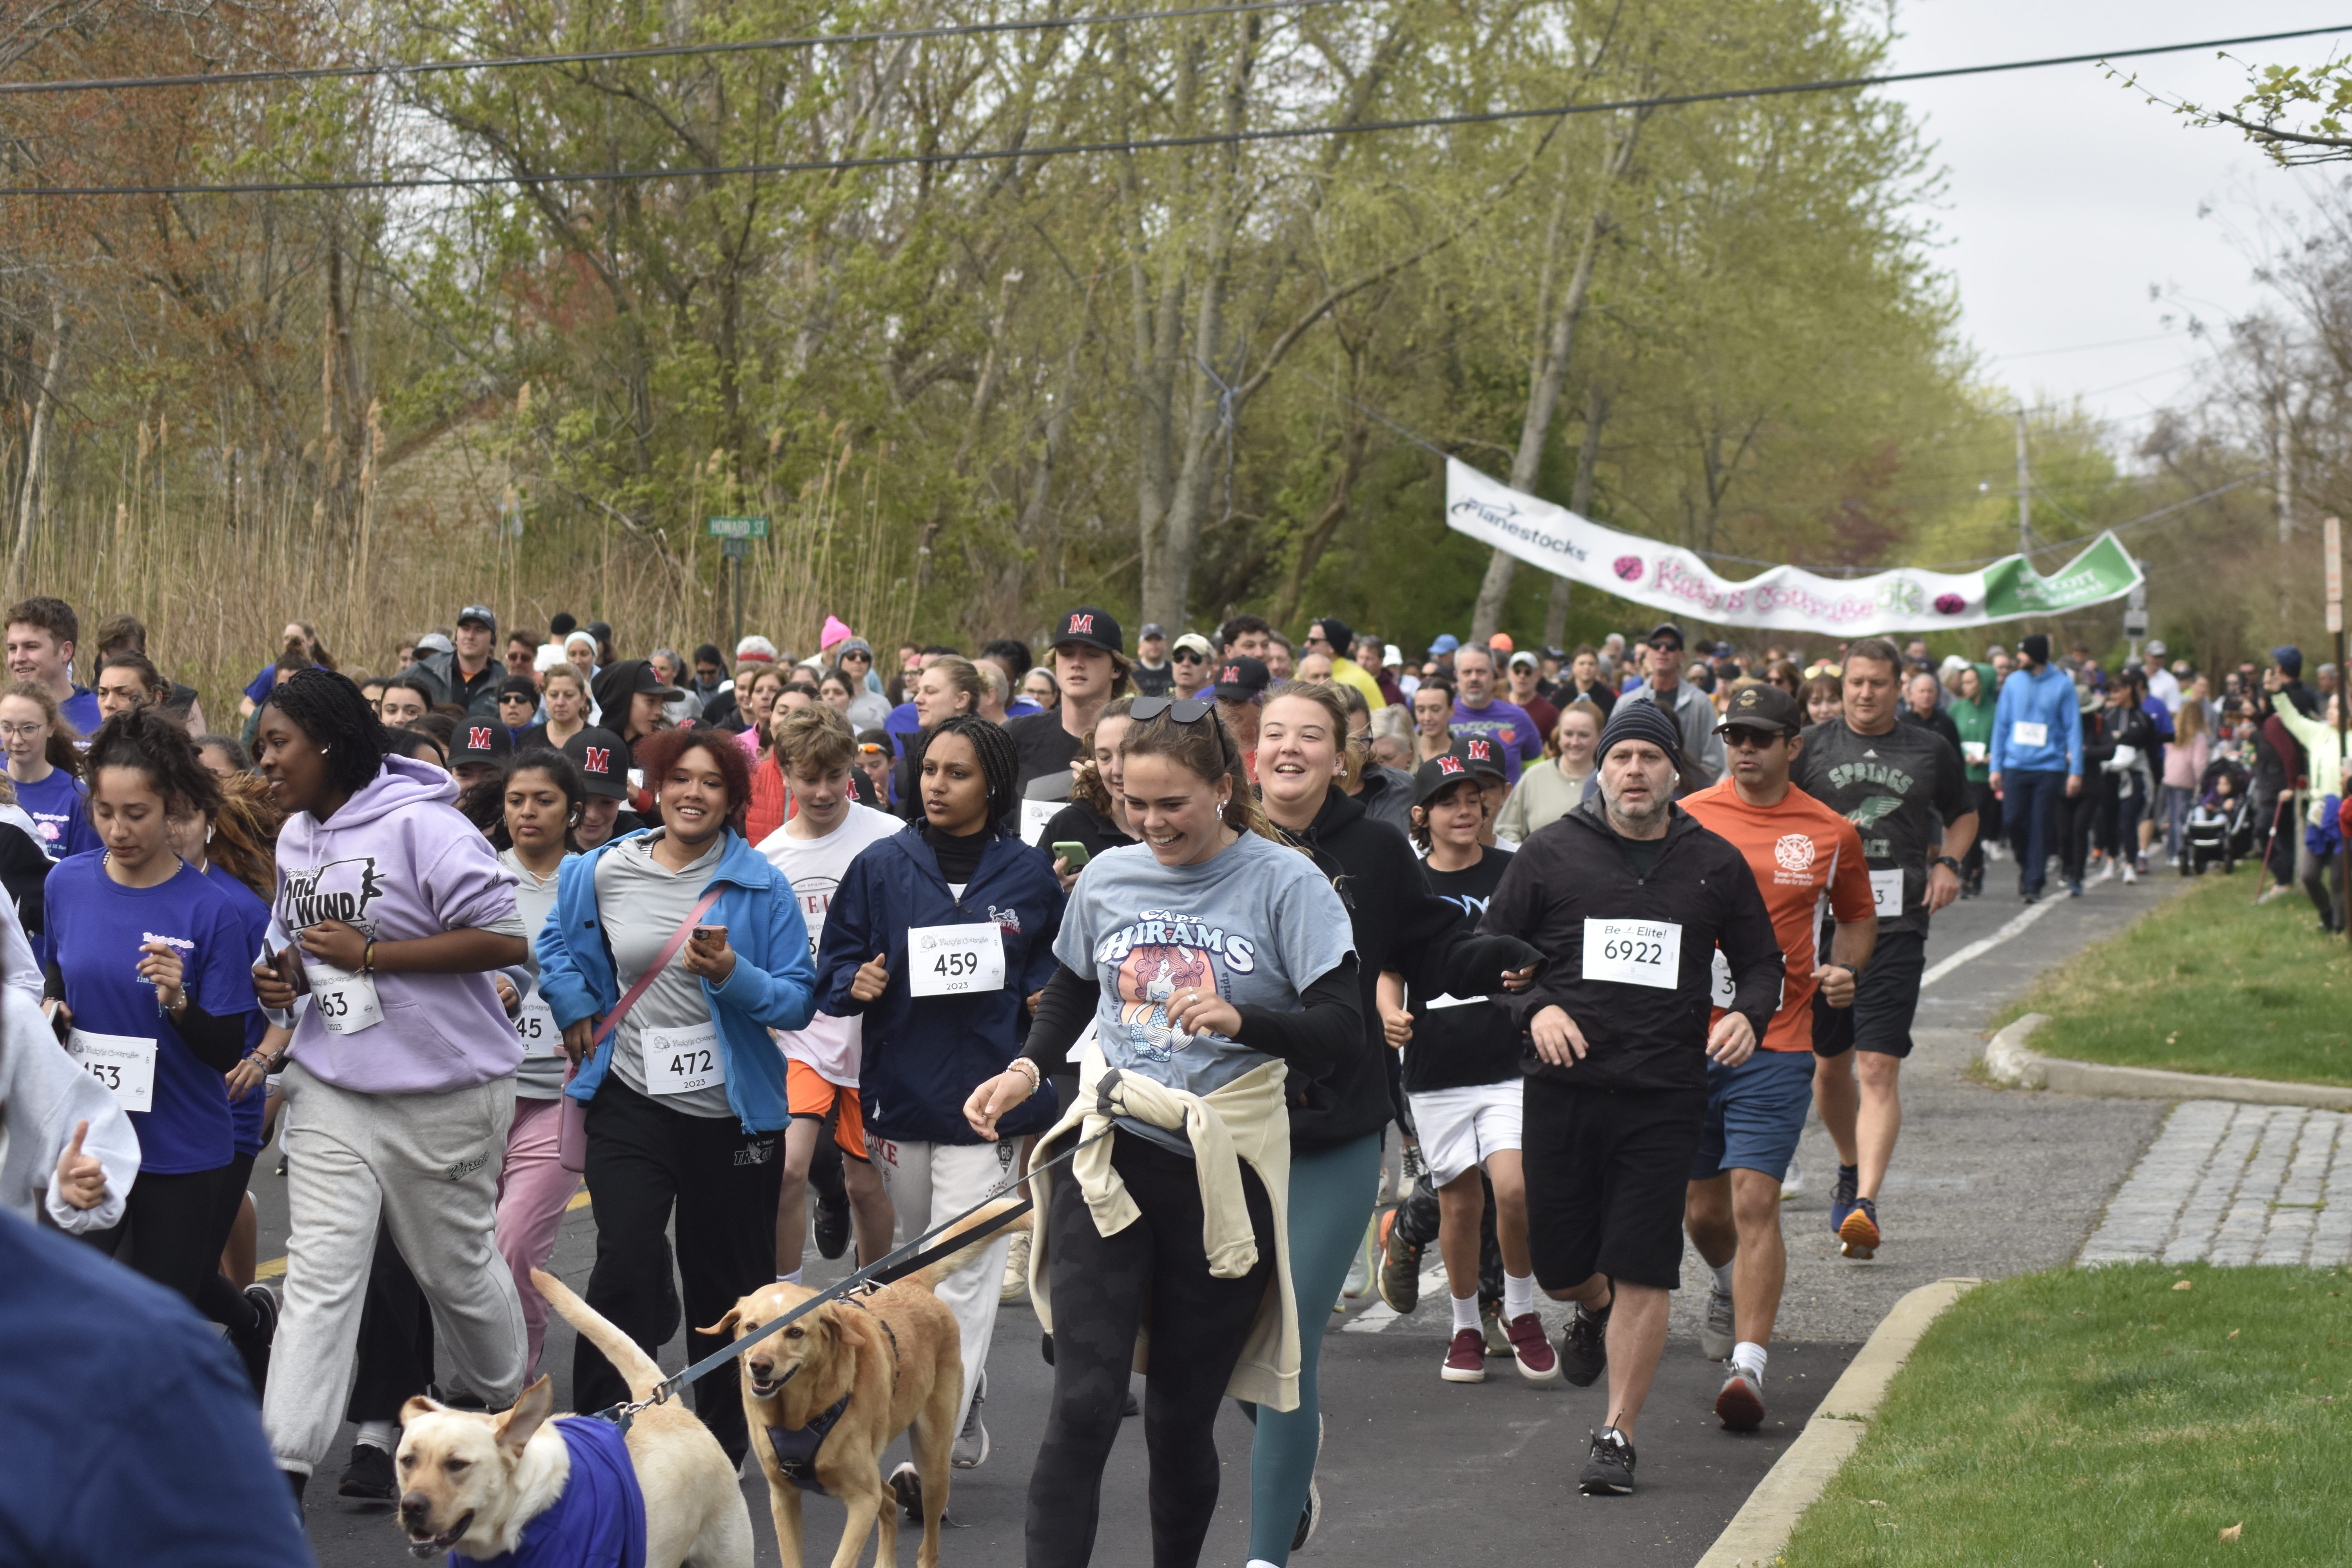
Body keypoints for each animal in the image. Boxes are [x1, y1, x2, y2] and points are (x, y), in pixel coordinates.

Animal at [696, 1203, 1030, 1568]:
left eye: (795, 1332)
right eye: (751, 1328)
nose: (759, 1365)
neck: (802, 1414)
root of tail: (911, 1283)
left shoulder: (861, 1501)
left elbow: (842, 1560)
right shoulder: (784, 1498)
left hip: (933, 1464)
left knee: (928, 1544)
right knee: (891, 1497)